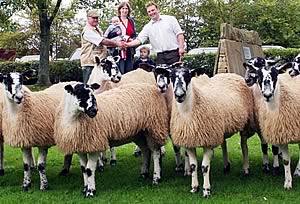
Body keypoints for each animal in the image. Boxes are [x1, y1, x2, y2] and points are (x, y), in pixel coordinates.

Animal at [155, 65, 255, 198]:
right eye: (171, 76)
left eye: (188, 76)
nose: (179, 95)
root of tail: (229, 74)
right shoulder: (190, 142)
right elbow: (193, 166)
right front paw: (194, 188)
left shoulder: (208, 141)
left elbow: (204, 167)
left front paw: (206, 190)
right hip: (219, 129)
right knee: (224, 143)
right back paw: (226, 166)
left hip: (245, 122)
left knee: (244, 145)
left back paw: (246, 169)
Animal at [243, 60, 300, 190]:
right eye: (259, 76)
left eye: (275, 75)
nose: (267, 95)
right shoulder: (280, 133)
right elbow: (286, 161)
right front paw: (288, 182)